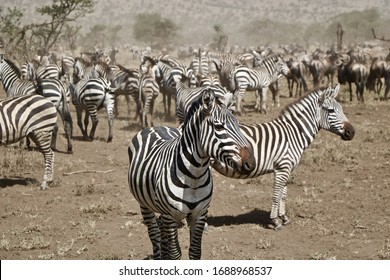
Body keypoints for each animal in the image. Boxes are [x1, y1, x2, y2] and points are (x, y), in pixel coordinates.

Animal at [128, 89, 256, 260]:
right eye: (218, 126)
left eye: (238, 125)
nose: (251, 163)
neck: (194, 177)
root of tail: (154, 127)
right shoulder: (171, 215)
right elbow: (175, 254)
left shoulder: (199, 214)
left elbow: (195, 252)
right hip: (144, 204)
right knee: (154, 233)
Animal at [212, 83, 354, 230]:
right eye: (331, 111)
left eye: (341, 109)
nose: (352, 132)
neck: (293, 134)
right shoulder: (282, 168)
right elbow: (276, 195)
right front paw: (275, 221)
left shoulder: (287, 169)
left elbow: (283, 195)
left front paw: (284, 218)